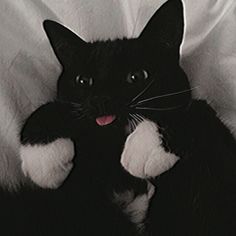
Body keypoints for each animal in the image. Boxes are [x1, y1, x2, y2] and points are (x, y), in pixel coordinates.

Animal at [3, 0, 234, 235]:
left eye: (137, 76)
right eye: (83, 80)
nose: (101, 99)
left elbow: (197, 110)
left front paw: (144, 147)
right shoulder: (74, 193)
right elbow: (53, 107)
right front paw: (43, 160)